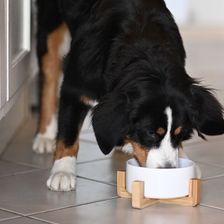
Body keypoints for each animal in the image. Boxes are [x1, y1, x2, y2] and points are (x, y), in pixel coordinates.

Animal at [33, 0, 224, 192]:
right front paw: (63, 171)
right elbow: (68, 132)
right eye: (150, 133)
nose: (168, 170)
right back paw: (45, 135)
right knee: (49, 76)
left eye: (180, 133)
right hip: (50, 23)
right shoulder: (77, 86)